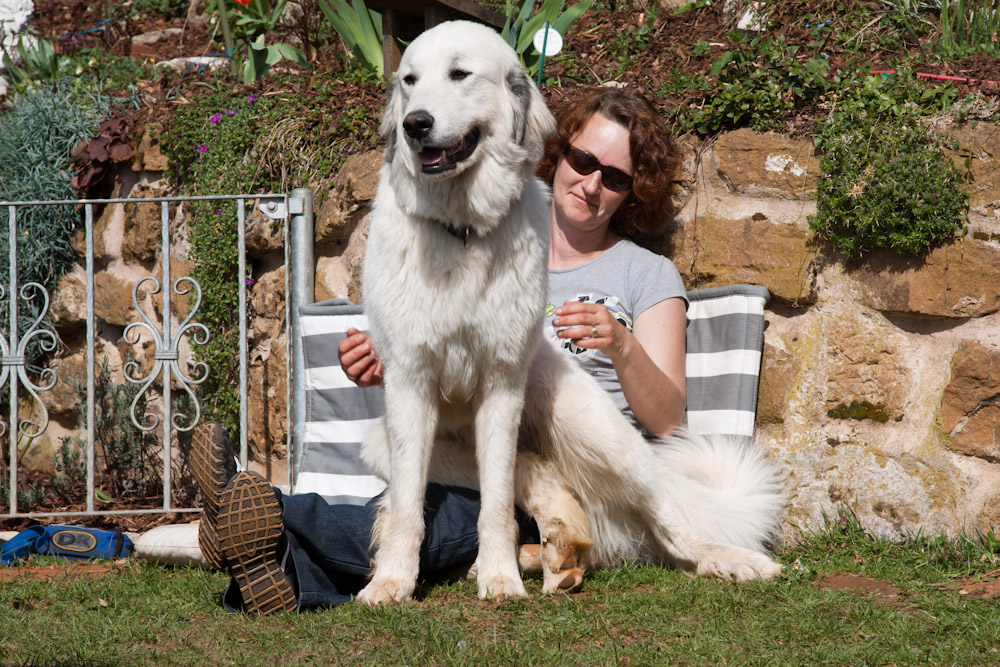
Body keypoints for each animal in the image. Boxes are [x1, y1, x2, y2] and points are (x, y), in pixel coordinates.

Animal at [356, 22, 784, 604]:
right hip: (385, 442)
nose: (414, 124)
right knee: (537, 474)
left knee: (671, 525)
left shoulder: (502, 382)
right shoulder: (408, 383)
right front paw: (393, 581)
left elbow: (495, 502)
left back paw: (731, 559)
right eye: (409, 81)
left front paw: (499, 578)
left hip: (588, 421)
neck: (461, 229)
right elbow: (408, 506)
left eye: (460, 74)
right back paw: (556, 544)